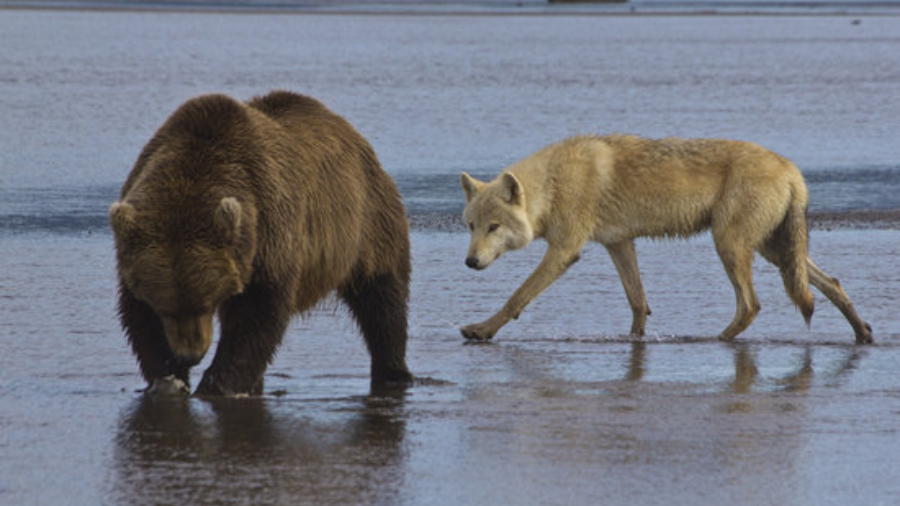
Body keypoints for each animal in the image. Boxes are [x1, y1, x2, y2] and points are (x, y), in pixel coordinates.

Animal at [109, 91, 413, 396]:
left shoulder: (268, 232)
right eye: (164, 306)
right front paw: (168, 379)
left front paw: (218, 383)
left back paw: (393, 371)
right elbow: (139, 318)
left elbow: (256, 315)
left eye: (204, 304)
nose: (189, 356)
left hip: (367, 224)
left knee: (383, 299)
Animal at [460, 135, 873, 344]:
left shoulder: (563, 251)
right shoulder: (619, 244)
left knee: (751, 306)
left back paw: (714, 340)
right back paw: (863, 333)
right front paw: (634, 340)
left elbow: (517, 297)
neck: (555, 184)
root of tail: (792, 169)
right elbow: (637, 302)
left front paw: (482, 330)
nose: (469, 263)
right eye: (471, 226)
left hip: (731, 246)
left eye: (493, 227)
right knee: (831, 283)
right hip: (774, 251)